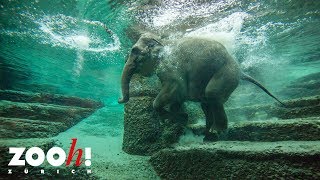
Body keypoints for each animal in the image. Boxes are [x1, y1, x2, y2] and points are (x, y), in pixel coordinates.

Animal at [119, 33, 284, 141]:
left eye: (134, 51)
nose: (120, 100)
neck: (162, 41)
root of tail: (240, 71)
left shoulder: (170, 66)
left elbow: (175, 88)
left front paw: (179, 118)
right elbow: (176, 98)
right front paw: (181, 118)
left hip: (226, 73)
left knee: (212, 95)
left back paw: (218, 132)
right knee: (206, 105)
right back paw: (207, 136)